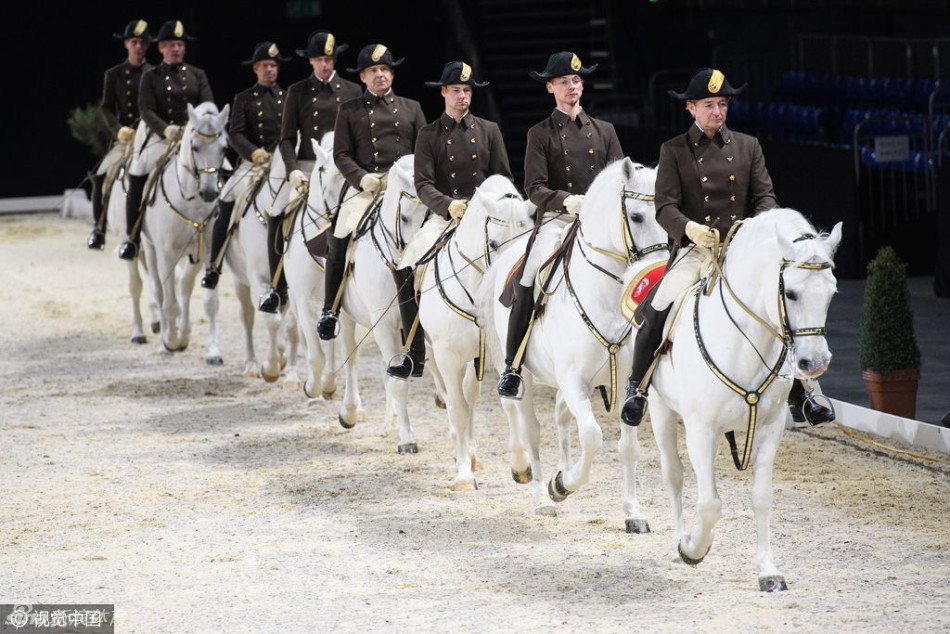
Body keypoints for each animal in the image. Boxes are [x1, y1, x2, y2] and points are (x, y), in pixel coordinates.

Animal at [139, 102, 231, 360]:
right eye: (195, 146)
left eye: (224, 148)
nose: (209, 193)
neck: (193, 203)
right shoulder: (167, 254)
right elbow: (169, 303)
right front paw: (169, 342)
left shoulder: (209, 253)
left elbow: (210, 302)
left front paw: (213, 351)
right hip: (151, 249)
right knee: (159, 290)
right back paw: (164, 339)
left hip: (193, 256)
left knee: (184, 286)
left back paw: (184, 335)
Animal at [221, 152, 300, 382]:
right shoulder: (258, 278)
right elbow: (271, 320)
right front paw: (271, 367)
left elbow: (292, 327)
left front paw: (291, 374)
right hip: (240, 281)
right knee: (247, 316)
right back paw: (251, 365)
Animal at [420, 173, 540, 488]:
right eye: (494, 243)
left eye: (529, 239)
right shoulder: (448, 356)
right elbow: (458, 410)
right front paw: (463, 474)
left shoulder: (501, 353)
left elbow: (507, 404)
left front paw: (520, 466)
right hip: (433, 352)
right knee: (450, 395)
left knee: (468, 394)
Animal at [484, 156, 668, 516]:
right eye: (637, 217)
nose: (659, 273)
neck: (606, 297)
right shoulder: (572, 379)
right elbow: (593, 436)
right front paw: (561, 486)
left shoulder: (626, 383)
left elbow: (628, 447)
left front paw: (633, 513)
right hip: (519, 371)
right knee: (530, 426)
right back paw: (539, 492)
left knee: (561, 418)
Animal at [652, 207, 844, 588]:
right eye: (792, 294)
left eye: (831, 292)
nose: (814, 363)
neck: (743, 340)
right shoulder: (700, 428)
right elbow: (710, 504)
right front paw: (692, 548)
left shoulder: (771, 427)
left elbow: (761, 497)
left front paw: (768, 570)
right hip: (659, 409)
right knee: (674, 474)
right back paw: (678, 541)